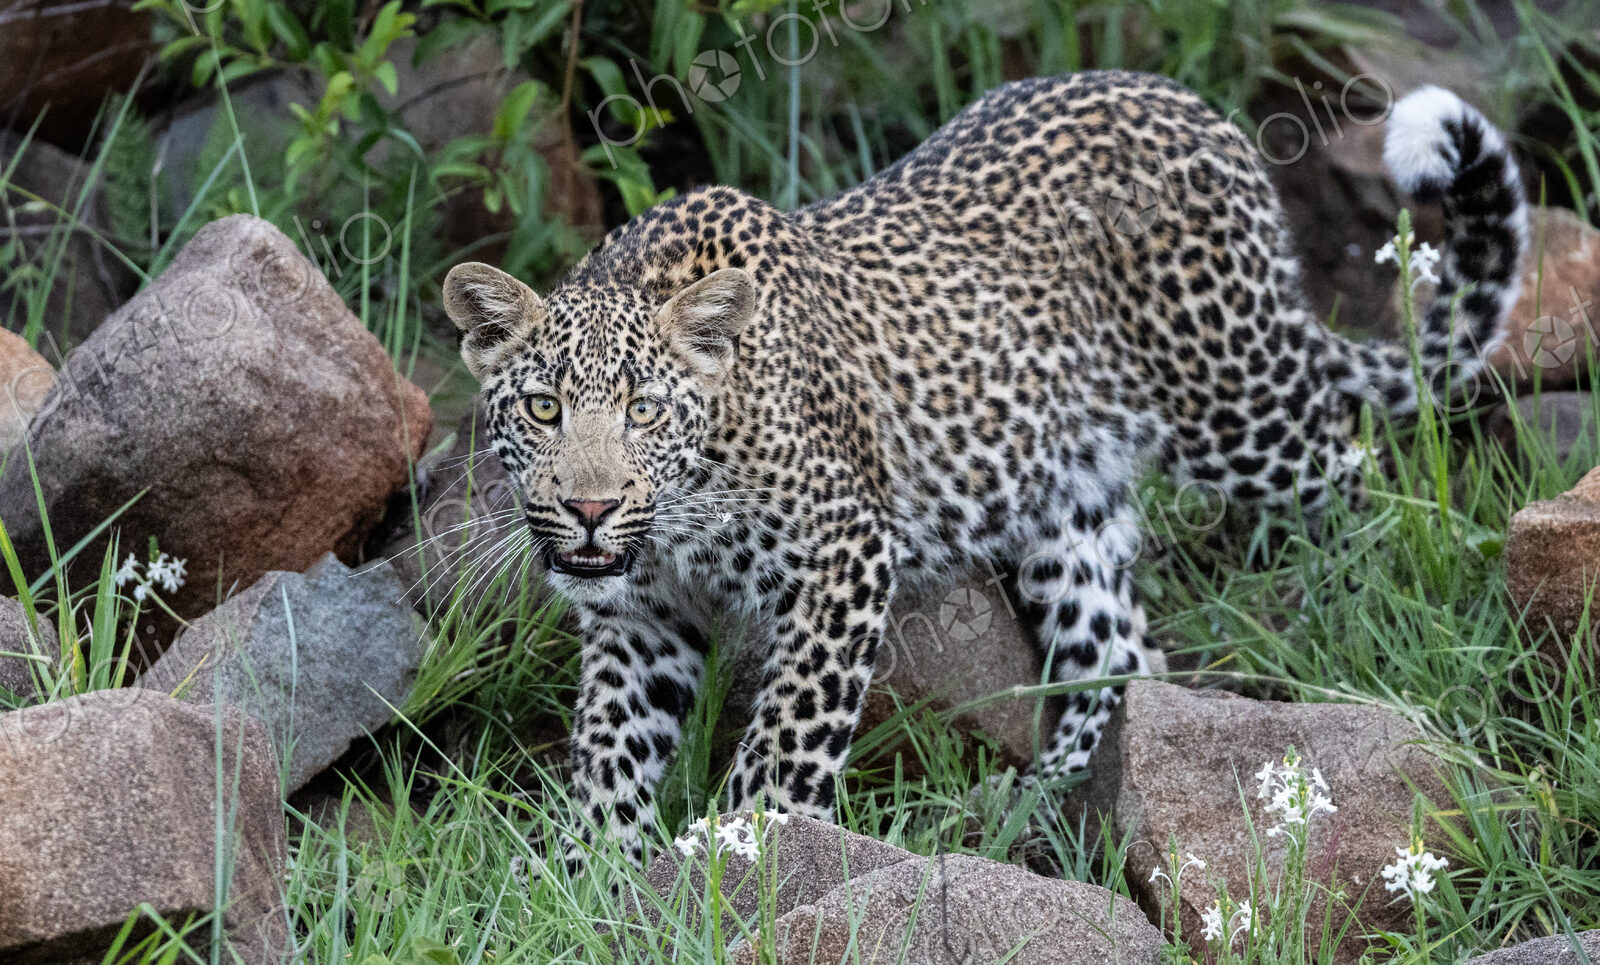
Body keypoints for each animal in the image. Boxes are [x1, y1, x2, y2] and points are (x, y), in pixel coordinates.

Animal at [442, 71, 1527, 869]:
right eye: (543, 407)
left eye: (645, 410)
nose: (589, 508)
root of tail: (1193, 109)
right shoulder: (641, 615)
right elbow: (612, 755)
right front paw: (583, 883)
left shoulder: (844, 556)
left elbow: (786, 739)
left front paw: (736, 854)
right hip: (1070, 501)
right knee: (1117, 649)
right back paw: (1045, 798)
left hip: (1234, 395)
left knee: (1346, 459)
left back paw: (1354, 599)